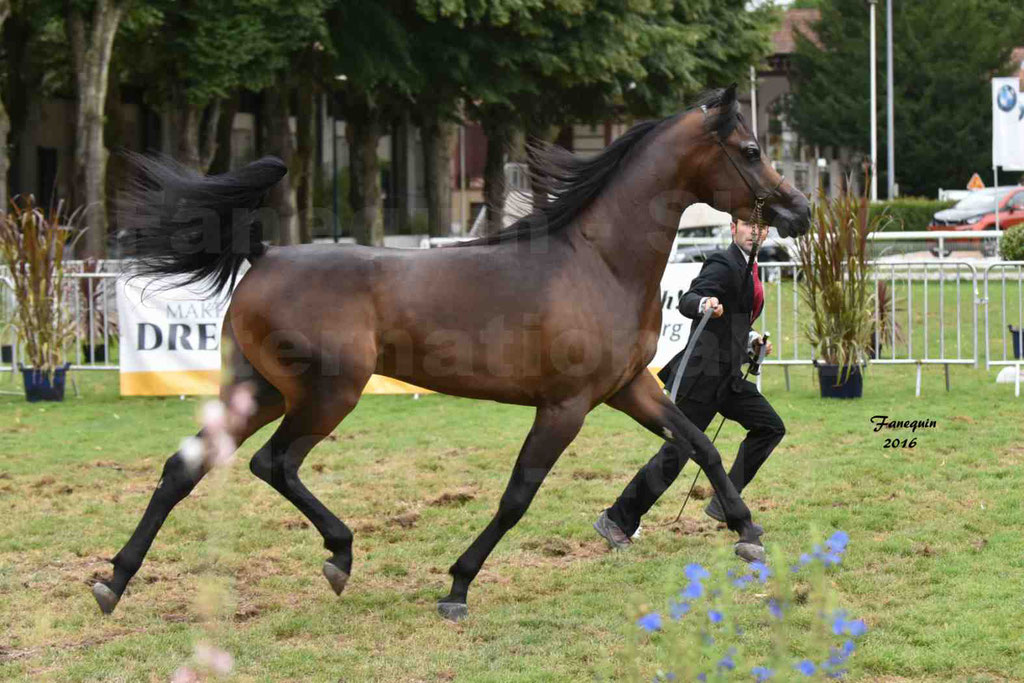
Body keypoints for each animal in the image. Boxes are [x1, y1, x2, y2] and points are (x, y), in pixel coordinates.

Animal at [94, 83, 806, 618]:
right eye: (750, 149)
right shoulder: (566, 406)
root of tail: (263, 257)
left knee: (183, 468)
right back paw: (340, 554)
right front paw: (458, 586)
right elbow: (518, 496)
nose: (797, 209)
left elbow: (700, 443)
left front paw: (748, 534)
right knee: (274, 463)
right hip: (326, 394)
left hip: (260, 391)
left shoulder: (631, 388)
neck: (598, 262)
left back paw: (113, 581)